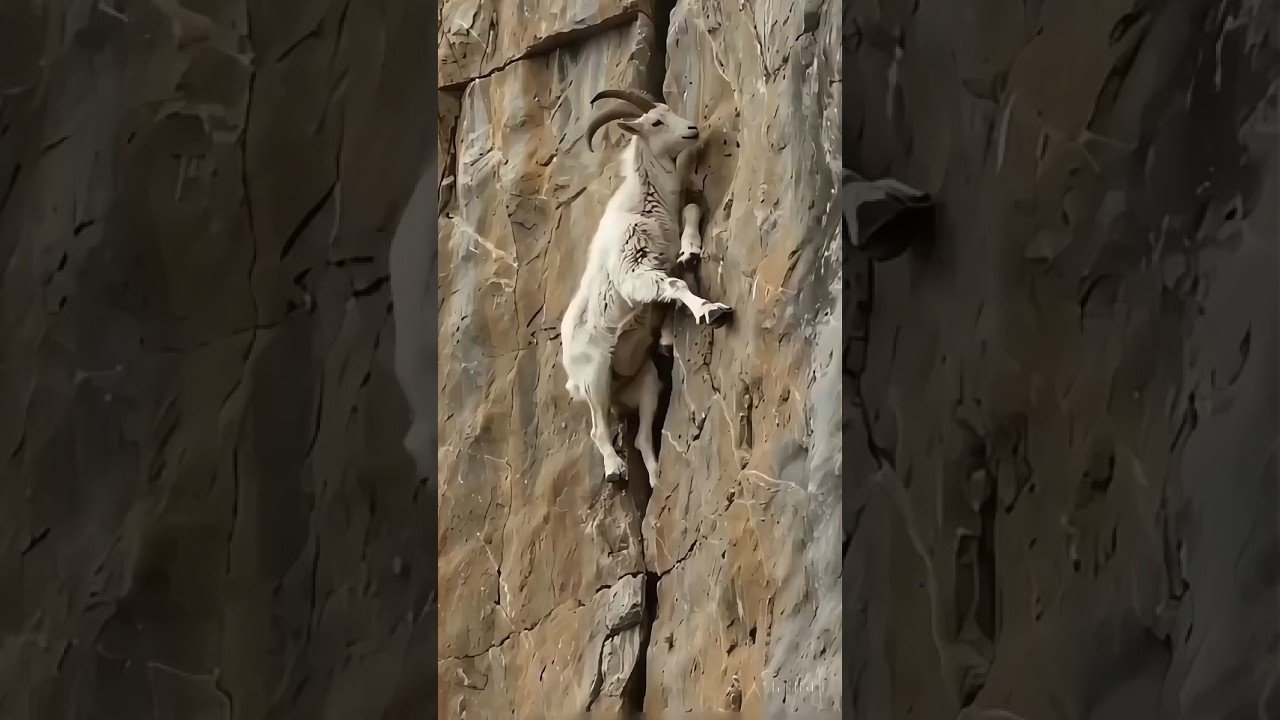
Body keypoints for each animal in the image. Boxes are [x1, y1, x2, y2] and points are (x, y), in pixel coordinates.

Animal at [561, 89, 730, 487]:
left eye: (668, 111)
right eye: (655, 122)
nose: (692, 130)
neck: (644, 200)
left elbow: (689, 216)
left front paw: (690, 252)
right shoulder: (635, 271)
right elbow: (673, 285)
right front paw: (712, 311)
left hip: (647, 382)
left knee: (640, 437)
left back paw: (654, 479)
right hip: (595, 379)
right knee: (599, 429)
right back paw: (615, 471)